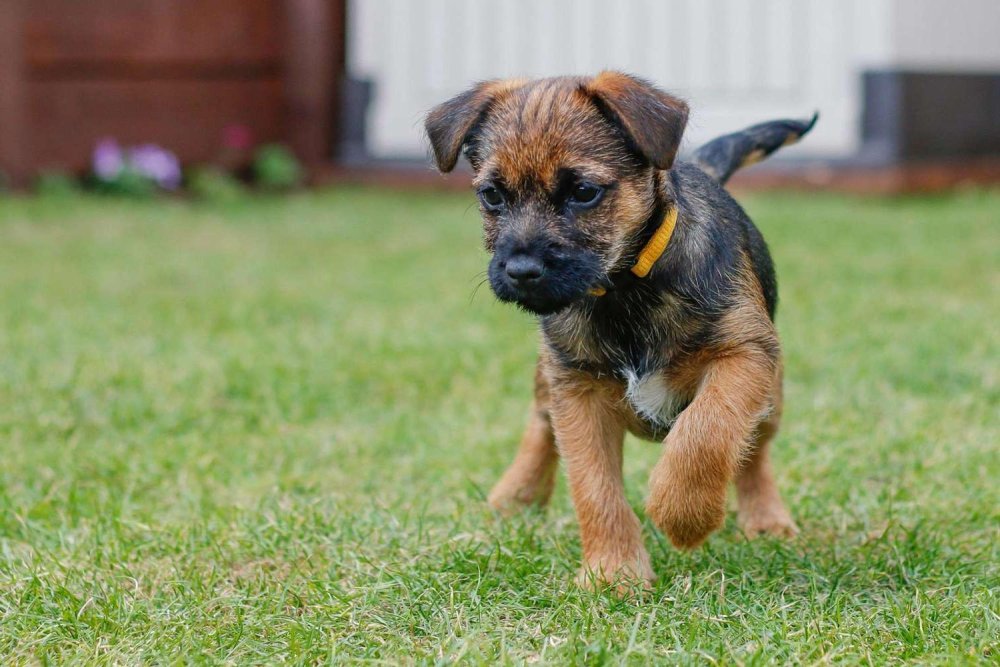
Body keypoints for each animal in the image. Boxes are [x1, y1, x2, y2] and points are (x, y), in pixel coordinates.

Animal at [426, 70, 816, 588]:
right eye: (492, 195)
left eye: (583, 192)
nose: (521, 270)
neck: (625, 290)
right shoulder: (578, 390)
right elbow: (594, 486)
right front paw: (613, 572)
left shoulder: (744, 352)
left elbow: (706, 432)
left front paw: (683, 516)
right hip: (548, 375)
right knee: (540, 424)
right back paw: (516, 495)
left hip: (772, 392)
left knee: (753, 449)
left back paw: (766, 518)